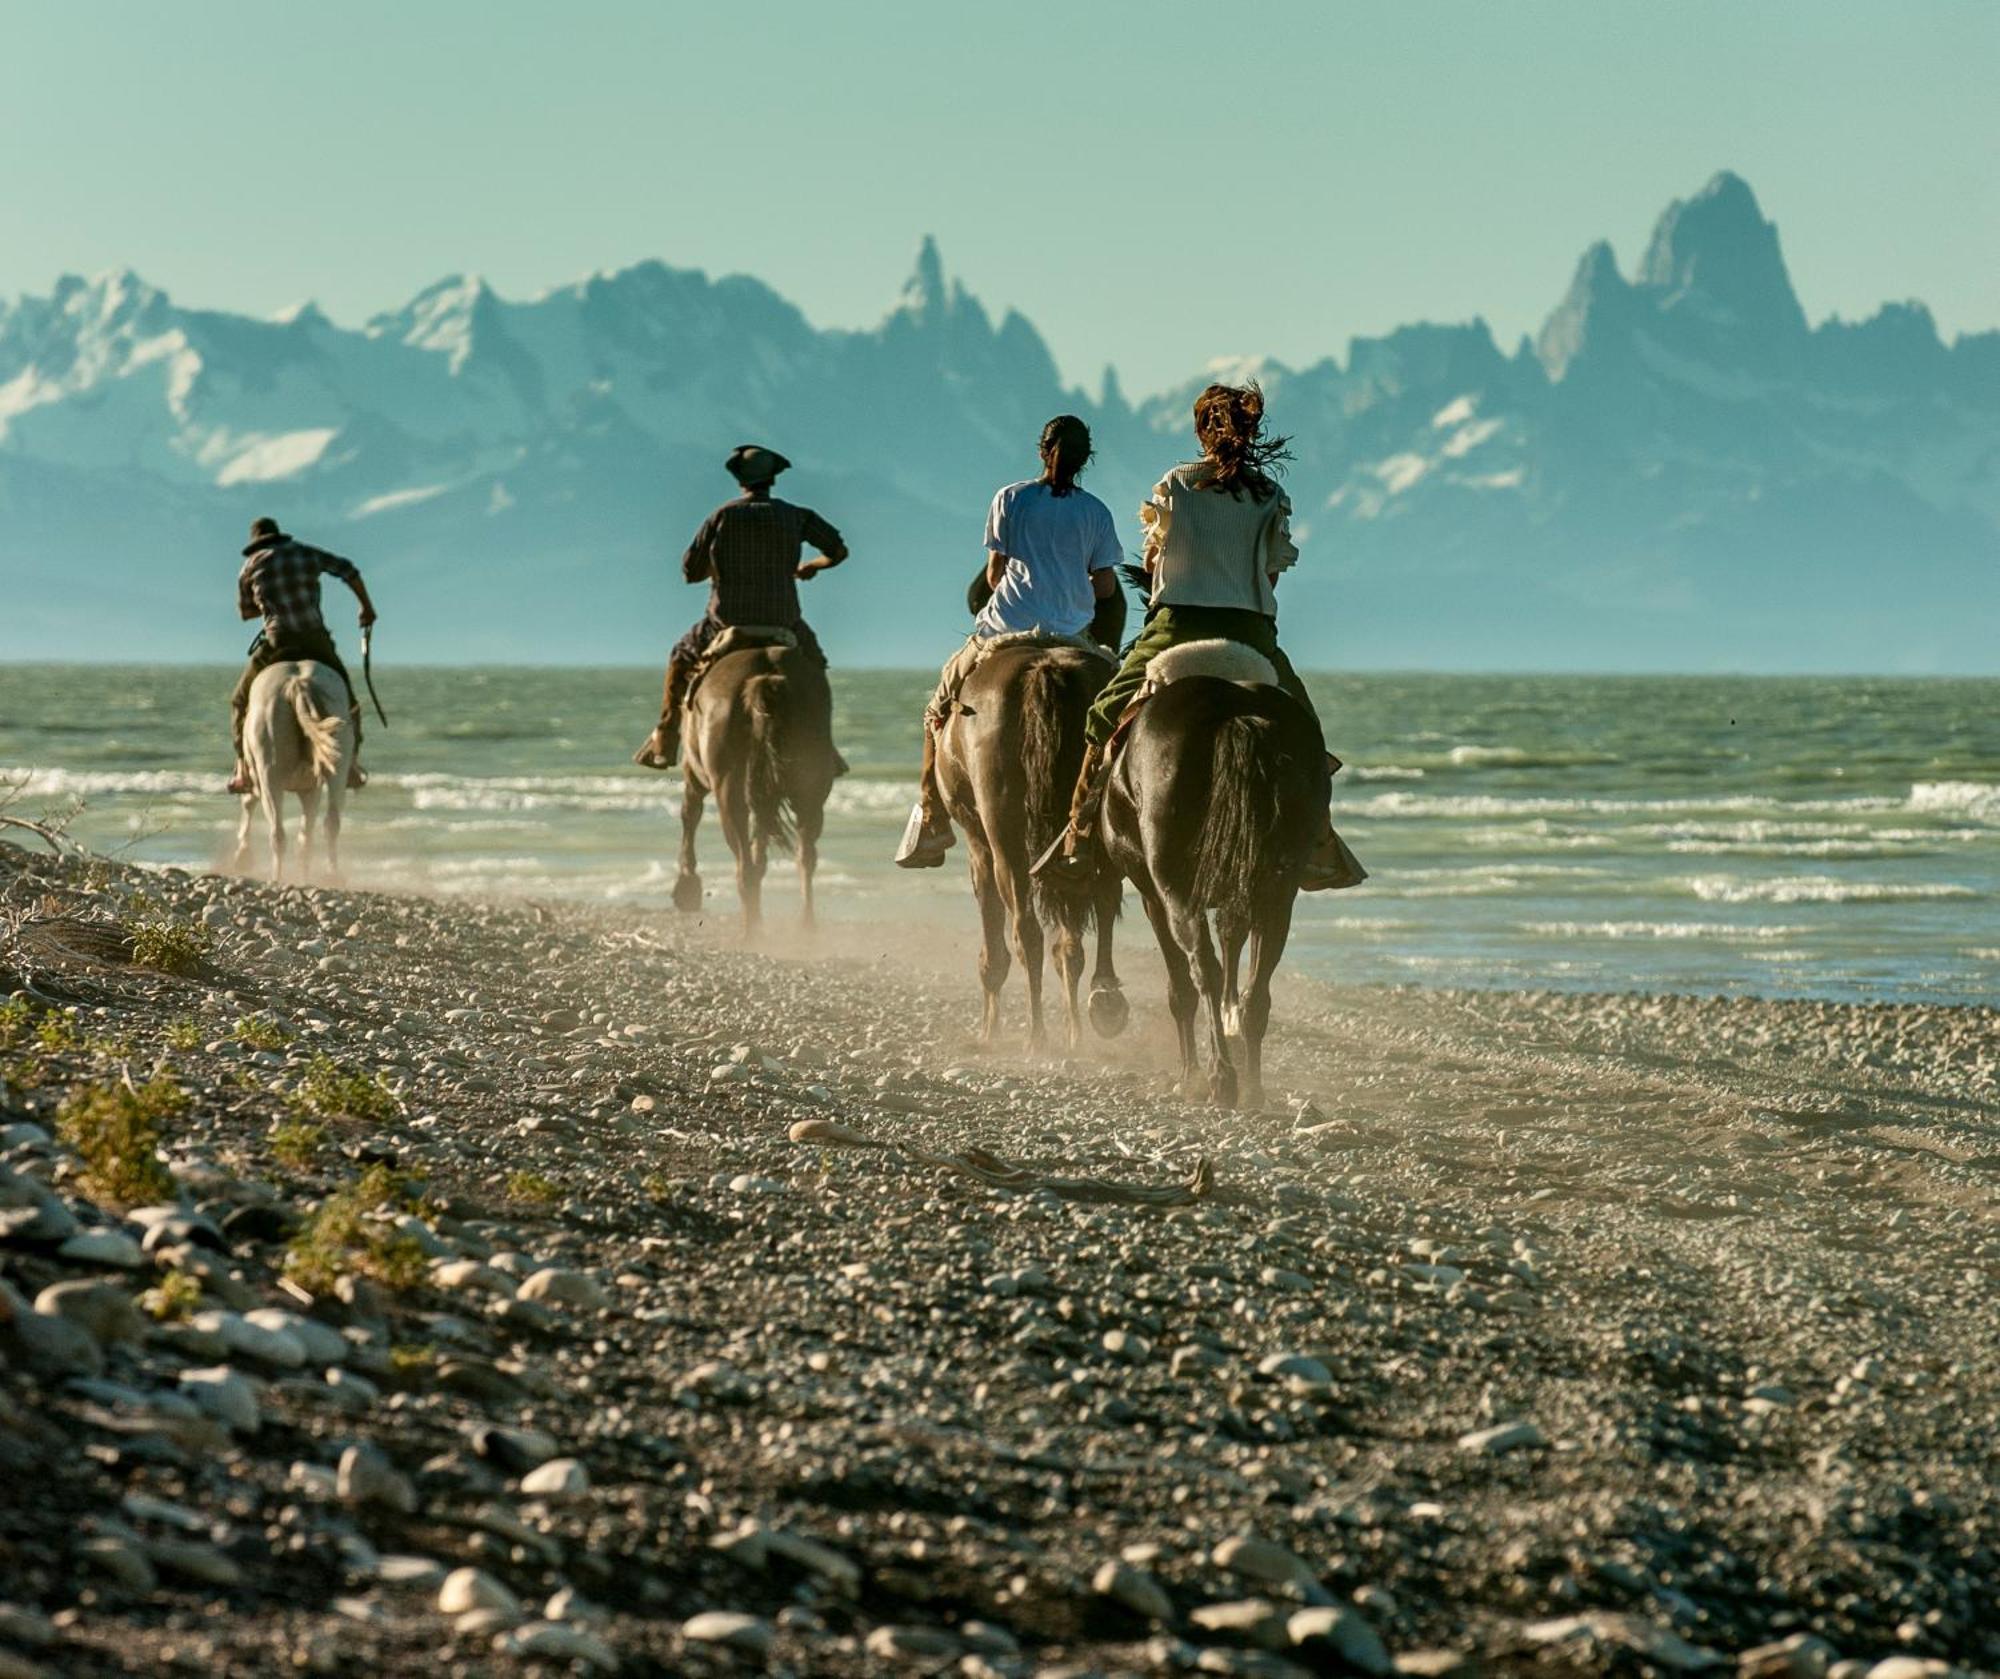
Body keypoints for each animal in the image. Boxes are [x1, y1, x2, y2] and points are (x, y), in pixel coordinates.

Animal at [234, 663, 356, 883]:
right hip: (339, 767)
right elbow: (305, 837)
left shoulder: (257, 778)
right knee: (331, 822)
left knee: (277, 833)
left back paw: (276, 878)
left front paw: (243, 855)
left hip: (269, 774)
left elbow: (248, 802)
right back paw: (332, 875)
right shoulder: (311, 789)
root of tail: (298, 683)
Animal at [676, 639, 840, 931]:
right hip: (810, 792)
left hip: (728, 795)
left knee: (744, 866)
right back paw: (806, 927)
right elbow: (761, 848)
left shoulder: (693, 774)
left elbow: (689, 814)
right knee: (805, 857)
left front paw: (686, 885)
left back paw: (752, 930)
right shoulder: (766, 797)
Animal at [936, 643, 1128, 1047]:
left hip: (1003, 832)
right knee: (1096, 905)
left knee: (1026, 931)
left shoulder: (979, 846)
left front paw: (990, 1029)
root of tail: (1046, 667)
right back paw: (1100, 1005)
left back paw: (1037, 1035)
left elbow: (992, 933)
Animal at [1096, 647, 1328, 1111]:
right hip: (1277, 891)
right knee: (1258, 987)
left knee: (1203, 967)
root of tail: (1237, 711)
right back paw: (1253, 1085)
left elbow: (1181, 987)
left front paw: (1190, 1077)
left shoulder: (1153, 895)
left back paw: (1221, 1078)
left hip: (1176, 888)